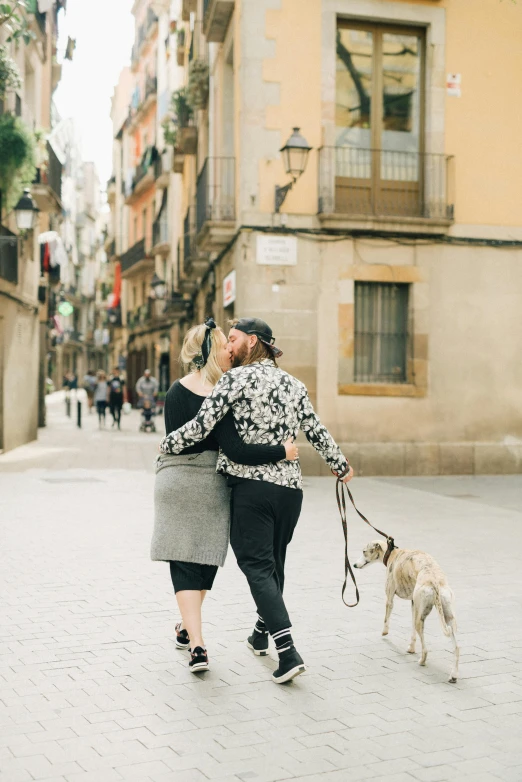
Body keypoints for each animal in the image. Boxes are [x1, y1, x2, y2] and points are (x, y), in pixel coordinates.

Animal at [352, 544, 458, 684]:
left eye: (364, 551)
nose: (354, 565)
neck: (392, 552)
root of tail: (434, 580)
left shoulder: (390, 597)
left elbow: (386, 618)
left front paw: (384, 632)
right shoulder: (414, 604)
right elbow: (412, 630)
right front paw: (411, 648)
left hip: (422, 619)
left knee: (425, 649)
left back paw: (422, 661)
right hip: (448, 618)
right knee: (456, 647)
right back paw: (453, 675)